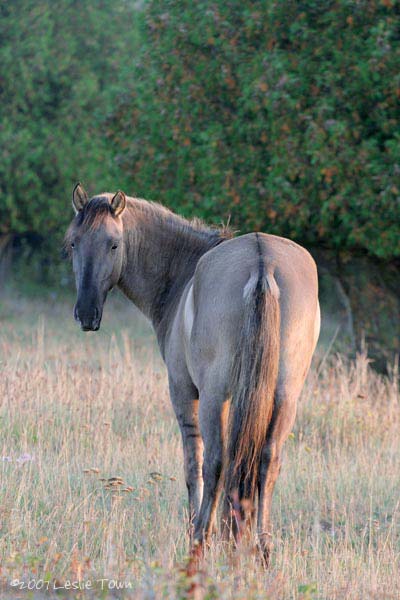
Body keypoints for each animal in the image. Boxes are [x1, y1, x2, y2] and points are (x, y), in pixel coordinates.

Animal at [66, 183, 322, 564]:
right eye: (73, 243)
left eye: (114, 244)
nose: (86, 313)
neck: (183, 275)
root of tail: (263, 264)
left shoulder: (185, 392)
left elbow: (194, 465)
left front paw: (201, 530)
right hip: (285, 395)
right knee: (268, 460)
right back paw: (261, 549)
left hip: (214, 397)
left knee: (215, 462)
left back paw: (199, 541)